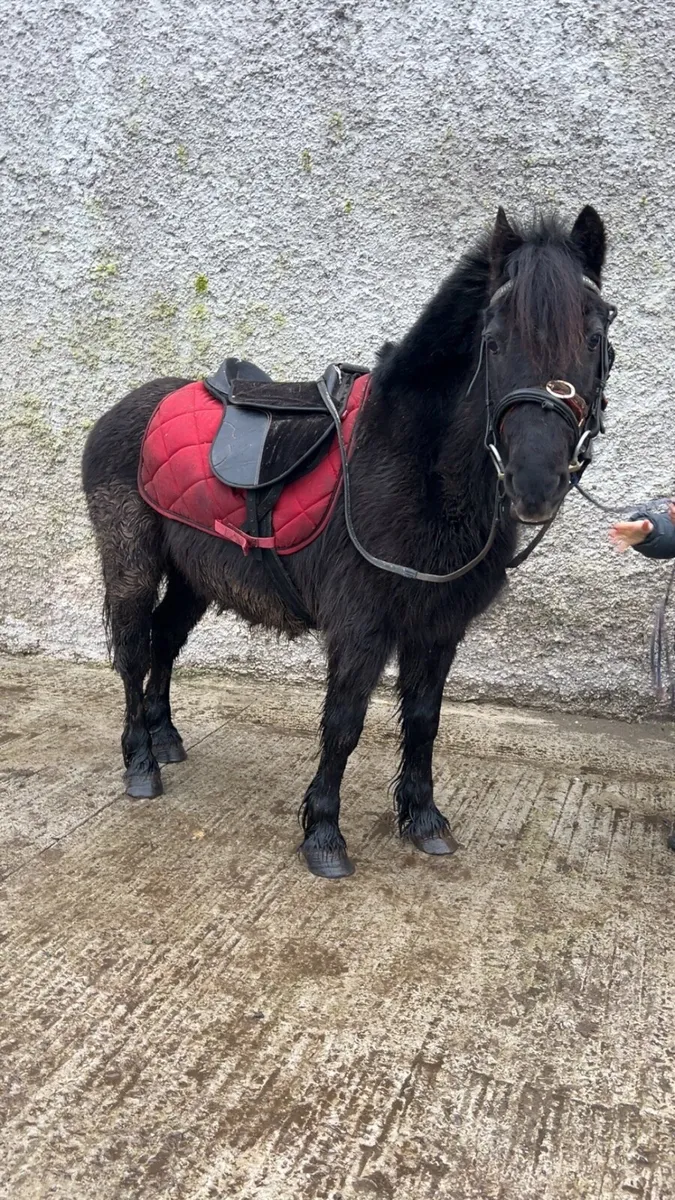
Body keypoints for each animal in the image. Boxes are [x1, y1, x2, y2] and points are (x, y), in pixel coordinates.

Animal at [82, 205, 616, 879]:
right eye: (493, 341)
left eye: (594, 336)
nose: (536, 484)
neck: (416, 466)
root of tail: (125, 408)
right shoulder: (362, 625)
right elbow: (344, 722)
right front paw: (324, 834)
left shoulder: (438, 626)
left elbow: (423, 719)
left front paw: (422, 818)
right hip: (130, 562)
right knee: (133, 650)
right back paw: (141, 762)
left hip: (194, 576)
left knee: (165, 641)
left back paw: (167, 738)